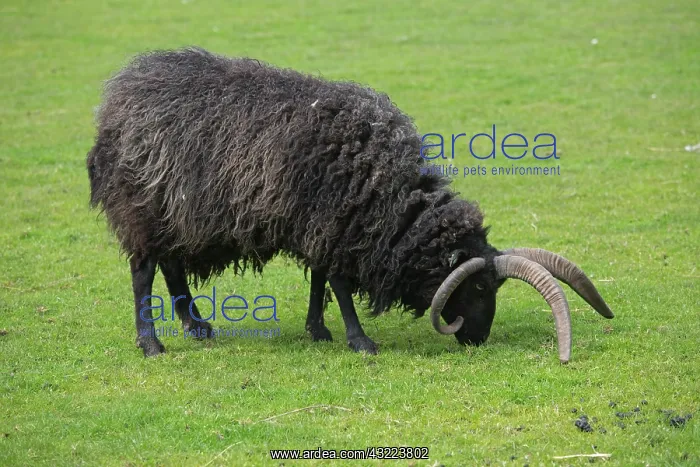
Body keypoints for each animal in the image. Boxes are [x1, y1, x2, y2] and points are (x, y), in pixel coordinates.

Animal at [86, 47, 614, 362]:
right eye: (481, 287)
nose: (478, 339)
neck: (391, 199)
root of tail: (117, 98)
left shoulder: (327, 223)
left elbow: (321, 276)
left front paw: (318, 329)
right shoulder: (334, 221)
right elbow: (338, 281)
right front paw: (359, 339)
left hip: (176, 213)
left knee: (171, 265)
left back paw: (196, 327)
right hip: (142, 206)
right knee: (143, 272)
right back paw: (151, 343)